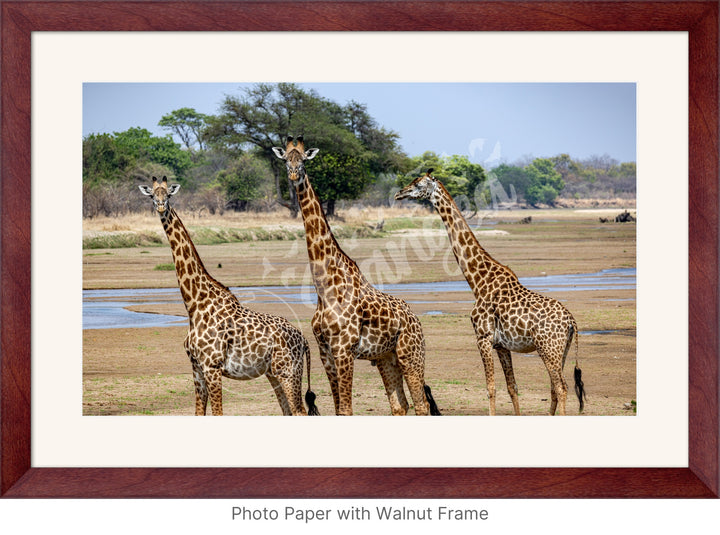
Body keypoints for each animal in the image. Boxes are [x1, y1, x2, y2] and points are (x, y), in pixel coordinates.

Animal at [139, 178, 318, 416]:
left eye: (168, 195)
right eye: (152, 195)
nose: (160, 207)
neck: (194, 304)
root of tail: (304, 340)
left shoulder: (212, 367)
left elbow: (218, 413)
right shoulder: (196, 367)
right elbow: (199, 413)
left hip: (288, 371)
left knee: (298, 411)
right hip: (273, 373)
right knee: (287, 411)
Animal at [270, 136, 438, 416]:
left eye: (303, 160)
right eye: (285, 159)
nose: (294, 174)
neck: (325, 289)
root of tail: (415, 318)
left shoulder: (344, 350)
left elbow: (347, 410)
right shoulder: (325, 352)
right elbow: (339, 410)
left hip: (411, 354)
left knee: (422, 404)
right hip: (386, 358)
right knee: (400, 405)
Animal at [394, 170, 584, 416]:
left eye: (418, 183)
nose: (399, 193)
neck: (478, 283)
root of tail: (571, 321)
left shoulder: (482, 338)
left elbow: (490, 388)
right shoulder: (501, 345)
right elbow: (512, 388)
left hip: (548, 348)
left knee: (562, 387)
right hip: (561, 350)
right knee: (554, 387)